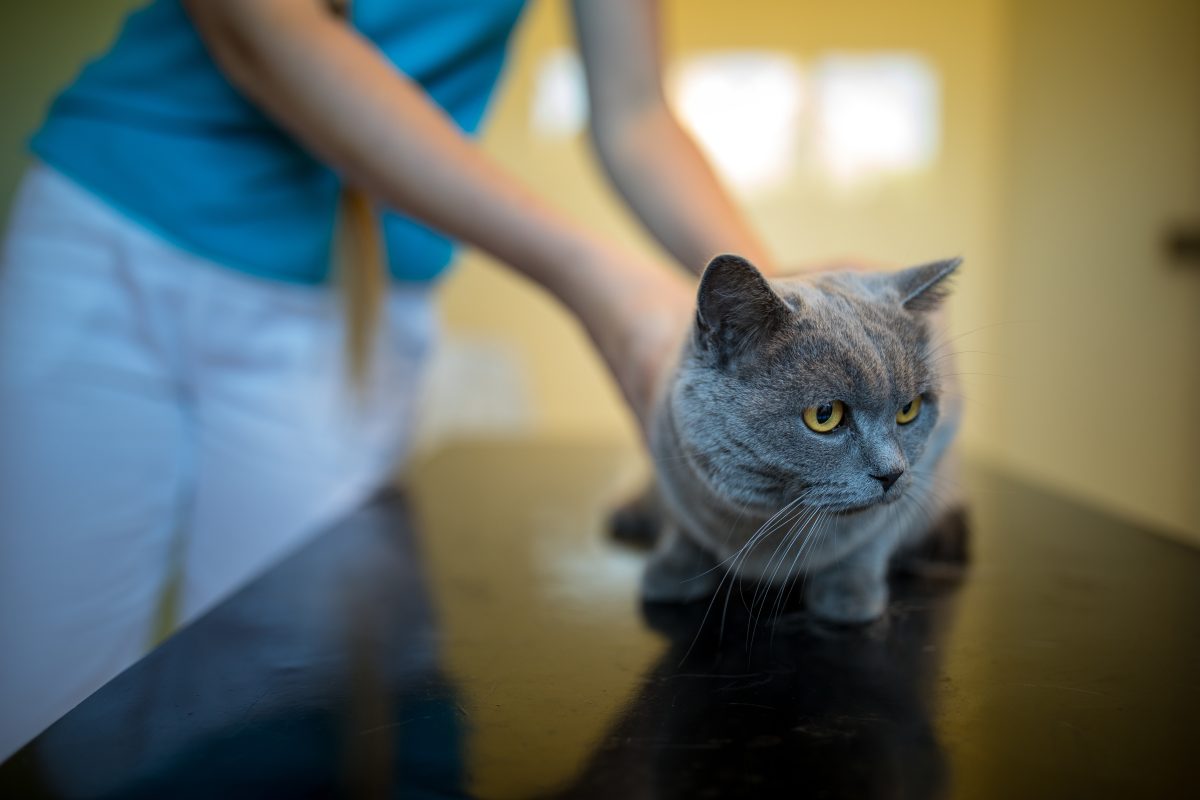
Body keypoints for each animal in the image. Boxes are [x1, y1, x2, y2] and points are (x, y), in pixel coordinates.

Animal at [624, 256, 969, 623]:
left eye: (908, 409)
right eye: (824, 414)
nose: (892, 473)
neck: (766, 521)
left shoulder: (931, 461)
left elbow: (873, 537)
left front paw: (848, 595)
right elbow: (684, 525)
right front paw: (673, 571)